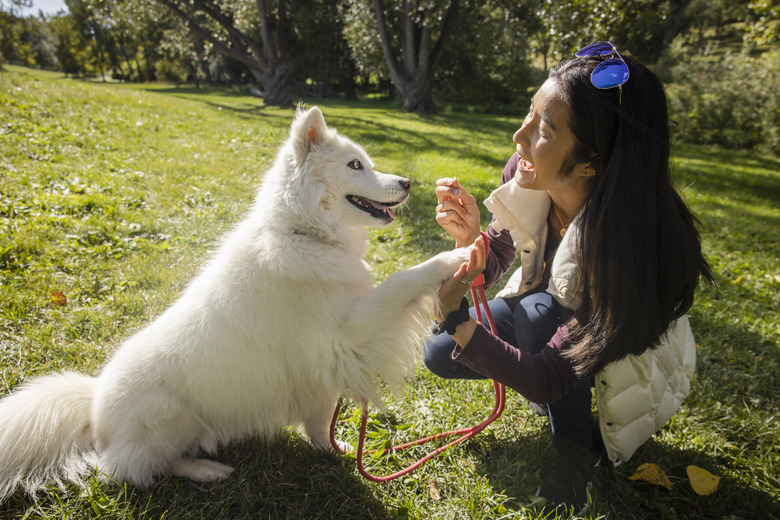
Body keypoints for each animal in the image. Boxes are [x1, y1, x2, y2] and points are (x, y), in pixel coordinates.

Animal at [0, 106, 466, 500]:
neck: (303, 233)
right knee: (129, 468)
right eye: (355, 165)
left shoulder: (319, 371)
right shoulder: (344, 336)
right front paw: (454, 256)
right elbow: (402, 281)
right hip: (173, 420)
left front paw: (335, 449)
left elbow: (319, 423)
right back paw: (206, 470)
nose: (407, 183)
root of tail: (94, 404)